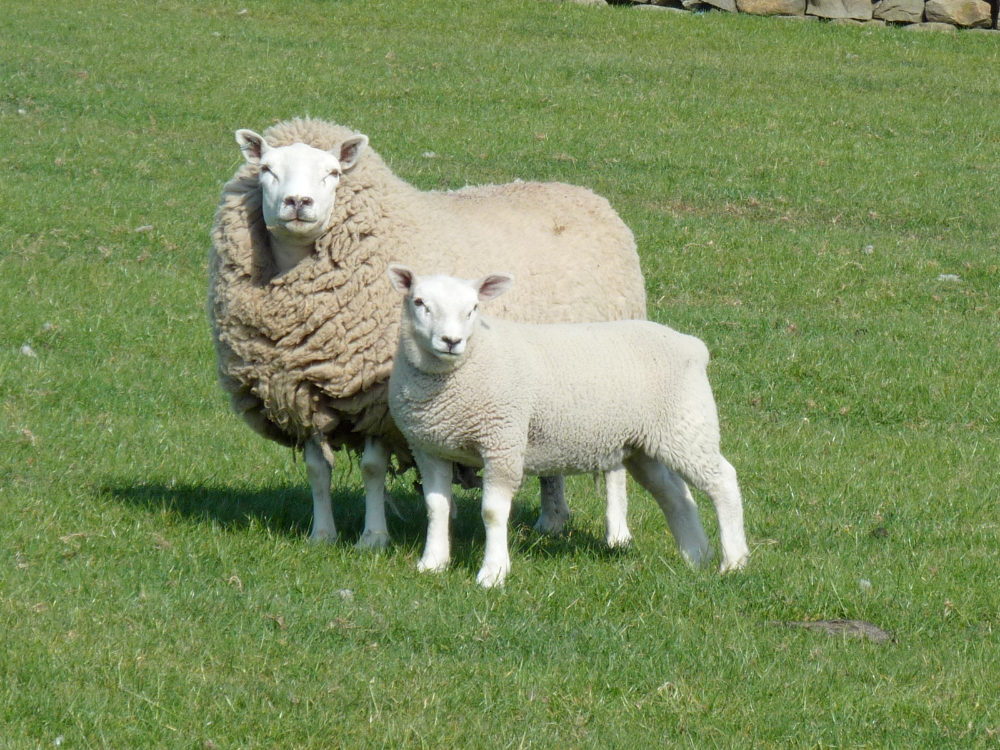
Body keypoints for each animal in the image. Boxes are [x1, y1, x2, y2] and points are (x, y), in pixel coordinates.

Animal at [209, 117, 647, 549]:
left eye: (332, 173)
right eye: (267, 170)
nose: (298, 203)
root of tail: (586, 194)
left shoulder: (376, 398)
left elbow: (372, 469)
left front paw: (373, 537)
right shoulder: (301, 393)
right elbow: (318, 470)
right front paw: (322, 536)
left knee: (614, 464)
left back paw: (617, 534)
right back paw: (552, 520)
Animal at [386, 266, 750, 588]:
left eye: (473, 308)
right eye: (419, 302)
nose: (451, 341)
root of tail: (693, 346)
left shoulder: (503, 442)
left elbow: (492, 512)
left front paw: (493, 574)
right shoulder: (427, 446)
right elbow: (436, 507)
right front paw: (432, 563)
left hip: (687, 425)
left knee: (723, 482)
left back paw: (733, 562)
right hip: (646, 443)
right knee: (674, 494)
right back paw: (696, 556)